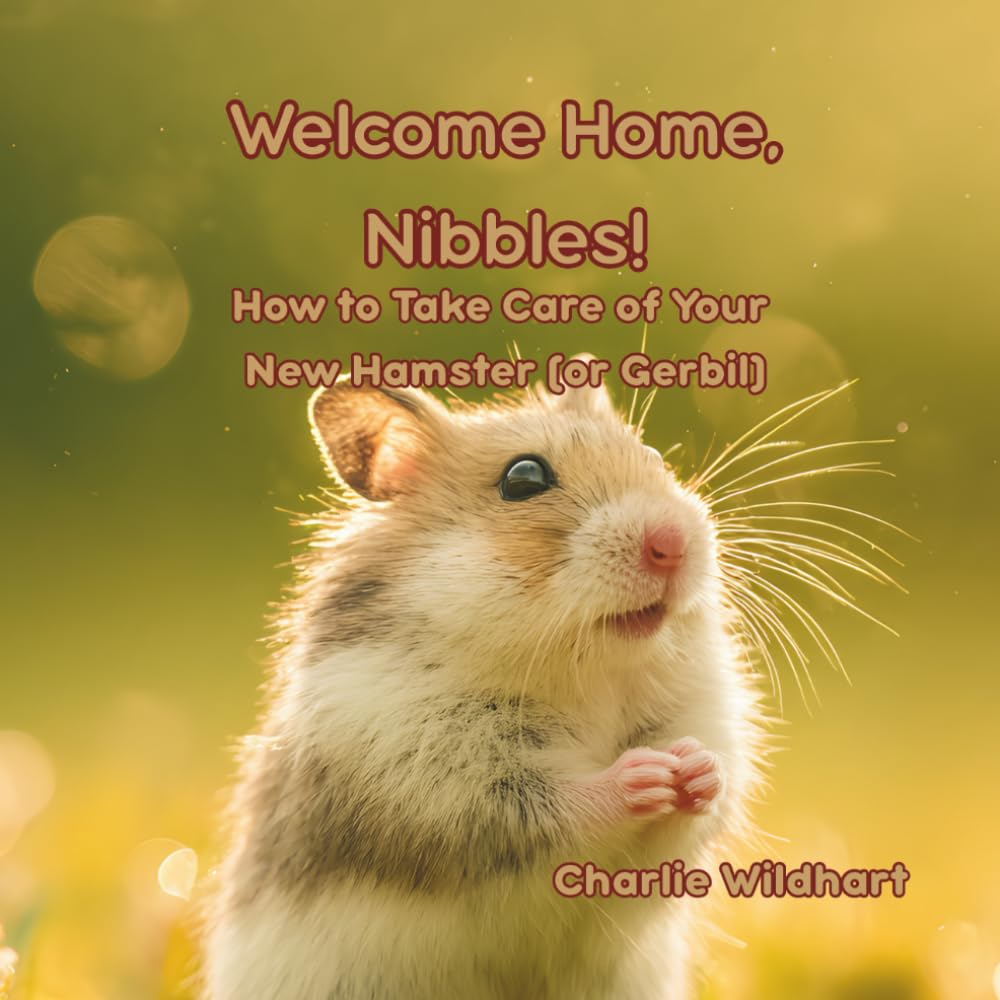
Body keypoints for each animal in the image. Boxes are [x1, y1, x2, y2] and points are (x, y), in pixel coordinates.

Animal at [202, 373, 767, 1000]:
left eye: (653, 457)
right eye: (523, 479)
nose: (673, 544)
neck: (582, 669)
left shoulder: (703, 712)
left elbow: (699, 803)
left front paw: (694, 768)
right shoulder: (434, 775)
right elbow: (551, 808)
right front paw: (647, 773)